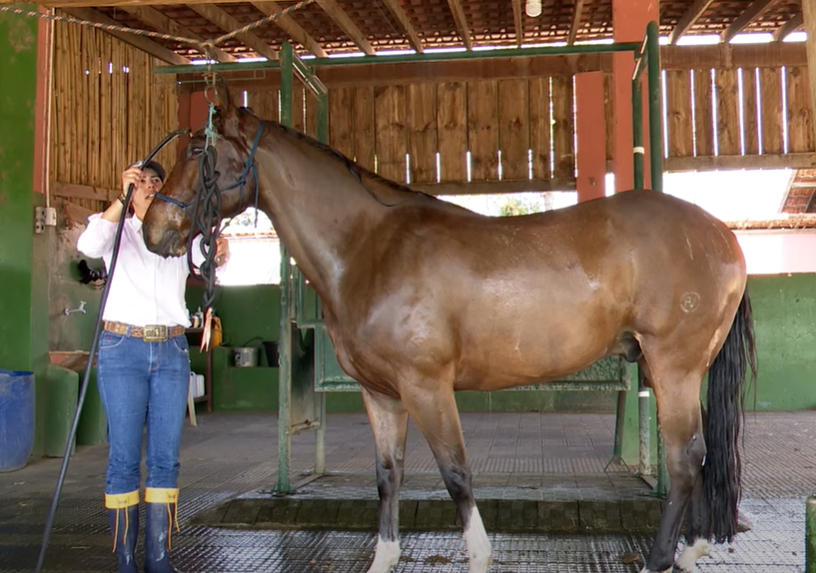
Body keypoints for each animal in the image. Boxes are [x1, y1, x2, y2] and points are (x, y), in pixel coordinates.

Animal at [143, 84, 756, 572]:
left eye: (197, 151)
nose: (153, 230)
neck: (368, 247)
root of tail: (721, 234)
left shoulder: (426, 386)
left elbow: (456, 473)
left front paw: (480, 555)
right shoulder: (382, 394)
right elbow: (388, 474)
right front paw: (385, 557)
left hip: (673, 367)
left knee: (685, 458)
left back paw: (661, 558)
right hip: (668, 368)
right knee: (698, 456)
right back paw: (691, 548)